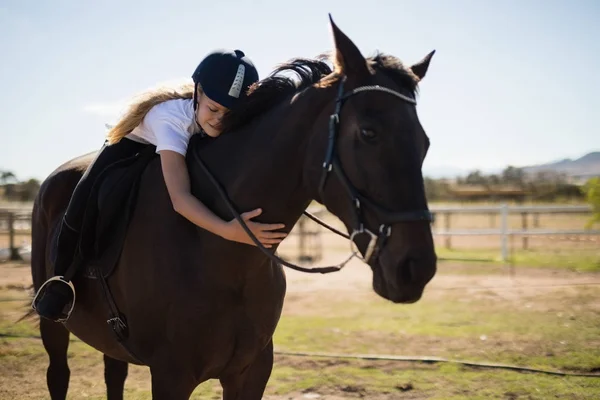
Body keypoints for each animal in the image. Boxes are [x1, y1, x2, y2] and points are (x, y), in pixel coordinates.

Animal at [29, 16, 436, 400]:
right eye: (368, 133)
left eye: (425, 142)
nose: (417, 268)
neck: (219, 257)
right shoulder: (171, 376)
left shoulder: (250, 372)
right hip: (53, 326)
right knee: (58, 374)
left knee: (113, 374)